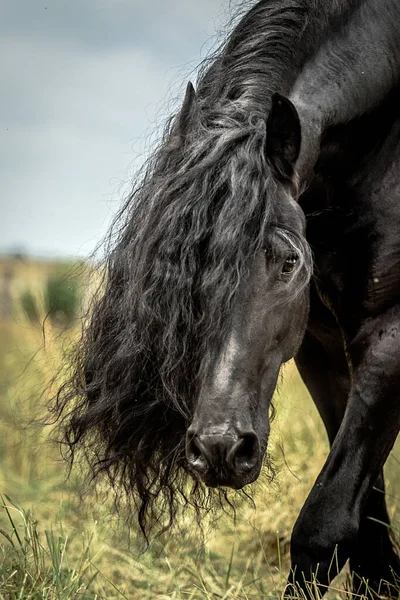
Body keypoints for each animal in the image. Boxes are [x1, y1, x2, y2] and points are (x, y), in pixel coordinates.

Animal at [55, 0, 400, 596]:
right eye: (183, 260)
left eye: (289, 261)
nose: (219, 449)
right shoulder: (322, 352)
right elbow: (365, 526)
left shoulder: (391, 338)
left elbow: (324, 526)